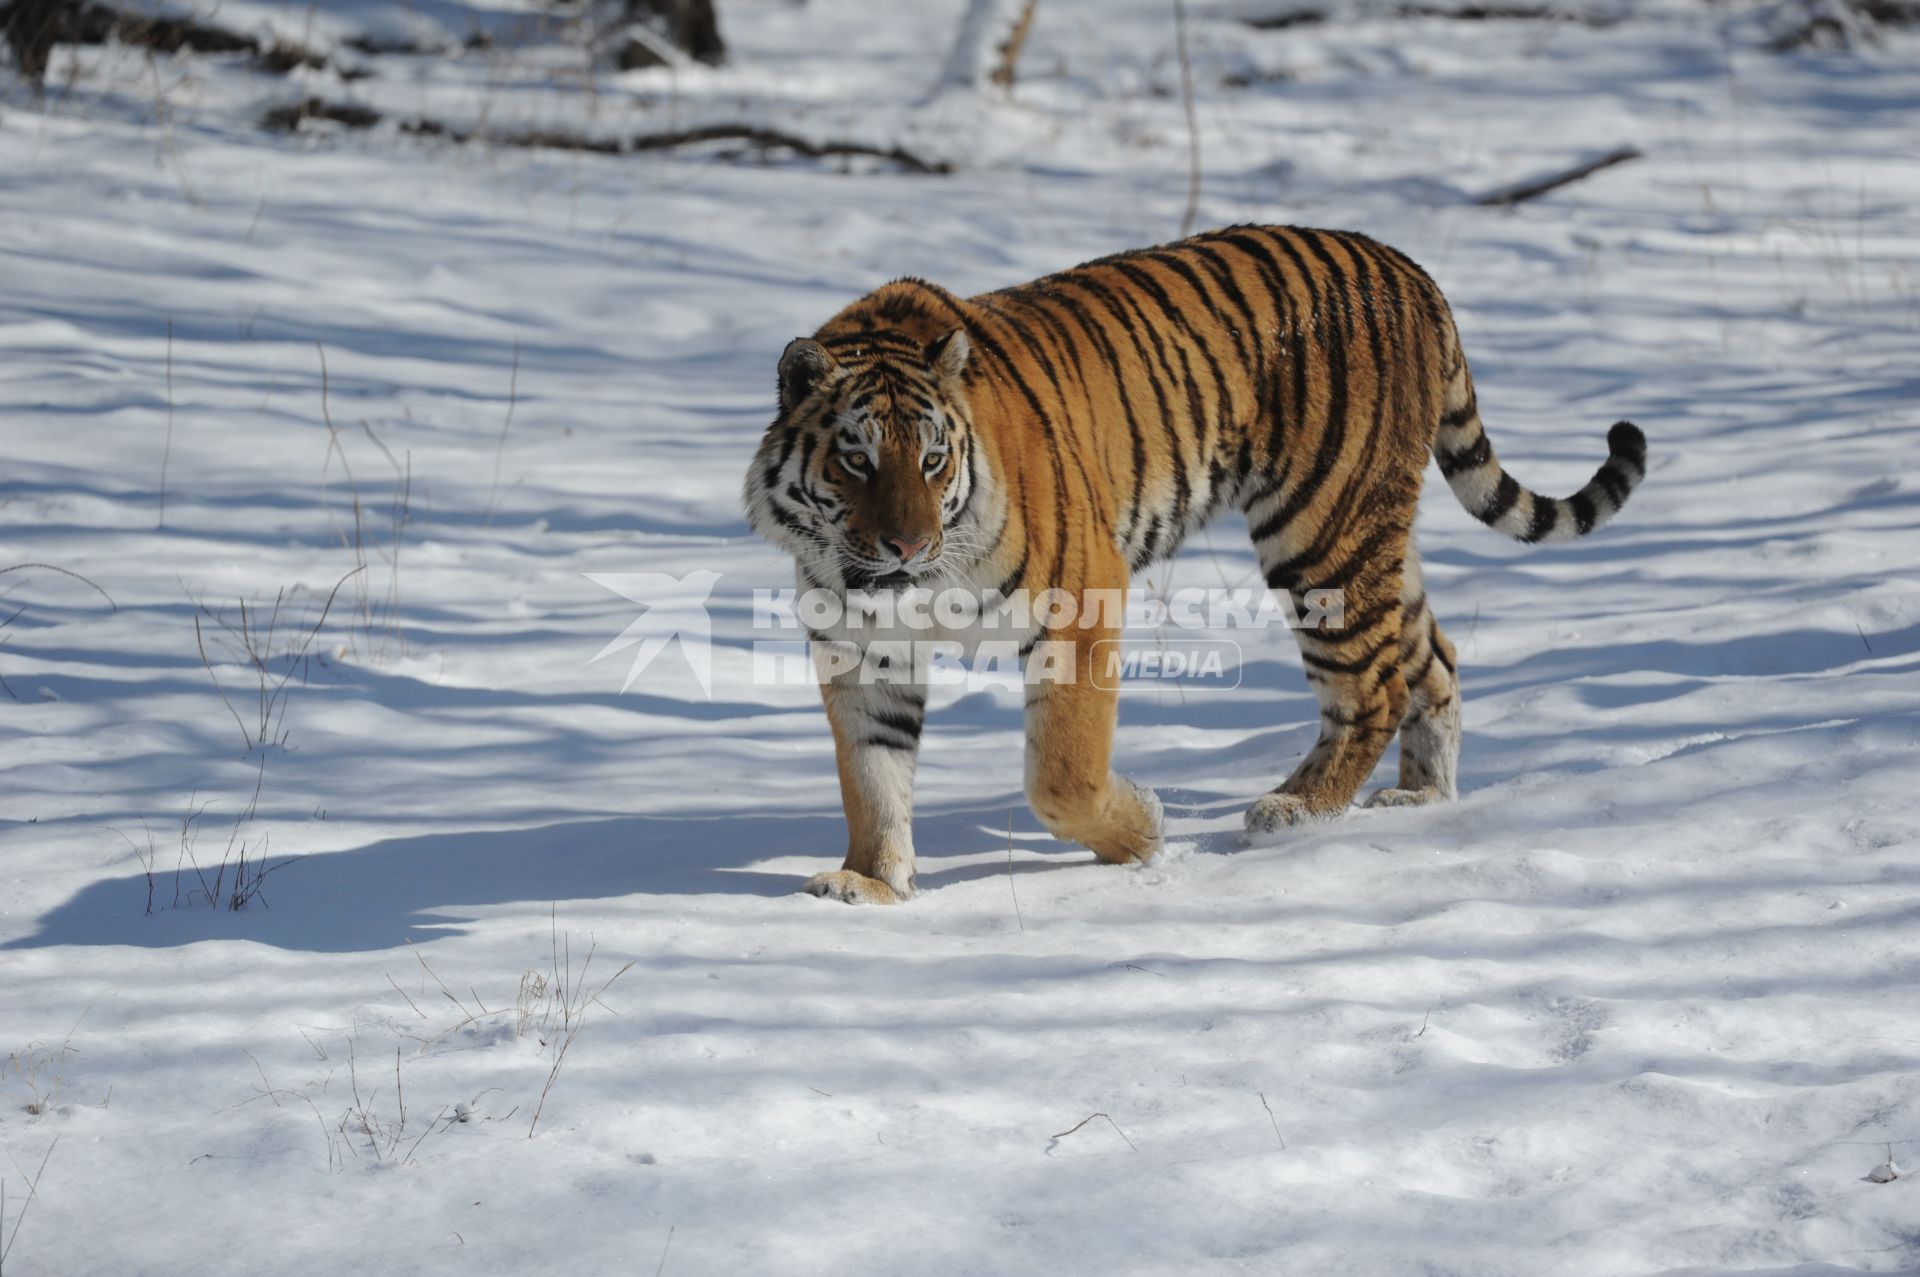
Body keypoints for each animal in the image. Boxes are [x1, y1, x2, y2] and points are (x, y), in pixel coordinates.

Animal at [741, 223, 1643, 902]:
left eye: (932, 462)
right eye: (857, 461)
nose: (907, 546)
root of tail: (1409, 269)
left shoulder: (1083, 594)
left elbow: (1062, 772)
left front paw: (1141, 830)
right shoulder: (861, 646)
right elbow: (872, 773)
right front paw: (869, 880)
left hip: (1321, 533)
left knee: (1372, 684)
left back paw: (1293, 810)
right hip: (1372, 540)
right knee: (1432, 658)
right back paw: (1419, 797)